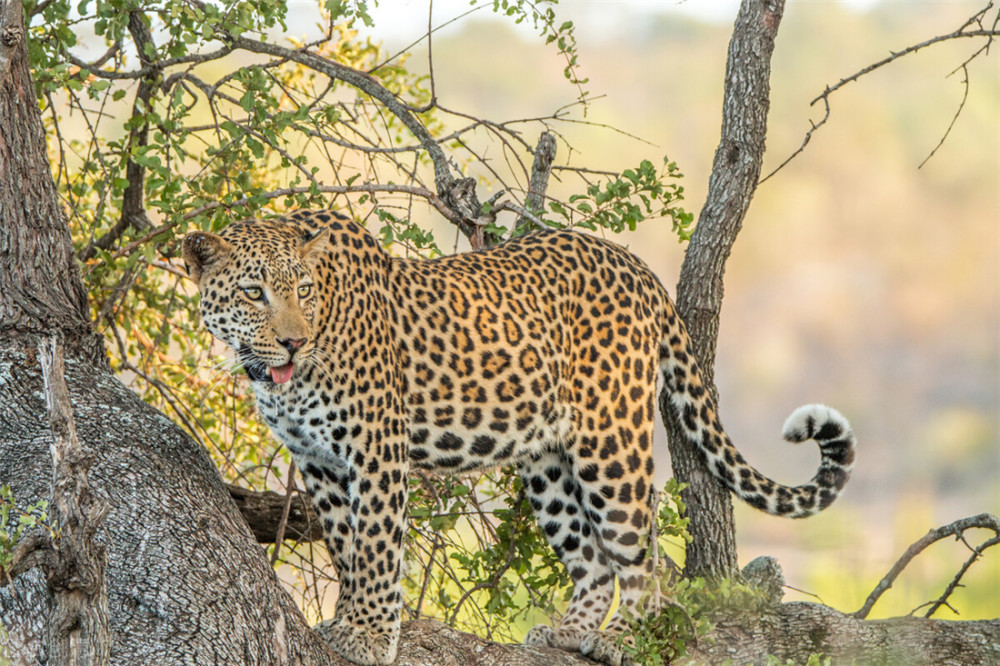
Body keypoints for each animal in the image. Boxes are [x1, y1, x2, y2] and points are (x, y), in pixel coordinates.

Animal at [184, 210, 856, 664]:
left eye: (303, 290)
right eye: (253, 292)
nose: (294, 342)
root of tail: (638, 267)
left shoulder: (376, 450)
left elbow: (375, 546)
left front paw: (370, 635)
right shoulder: (318, 460)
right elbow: (347, 549)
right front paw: (349, 620)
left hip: (611, 443)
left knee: (641, 560)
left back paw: (622, 638)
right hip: (546, 460)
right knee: (593, 561)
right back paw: (568, 630)